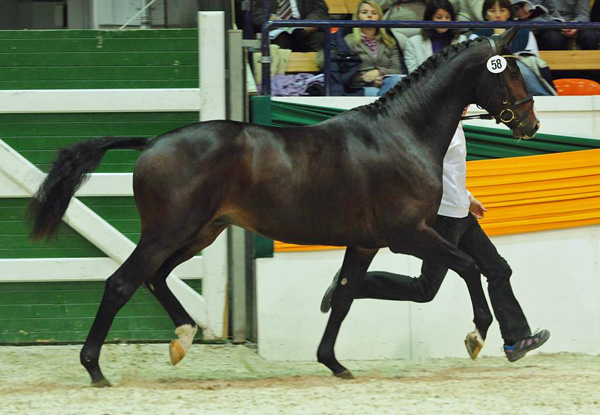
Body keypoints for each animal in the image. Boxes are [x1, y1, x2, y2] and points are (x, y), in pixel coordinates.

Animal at [28, 28, 540, 386]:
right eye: (511, 72)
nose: (531, 124)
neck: (401, 134)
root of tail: (152, 142)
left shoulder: (365, 244)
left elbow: (345, 297)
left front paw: (333, 362)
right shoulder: (408, 234)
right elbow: (469, 265)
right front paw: (477, 335)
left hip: (200, 232)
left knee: (155, 277)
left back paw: (182, 339)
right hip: (168, 231)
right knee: (121, 283)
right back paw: (95, 369)